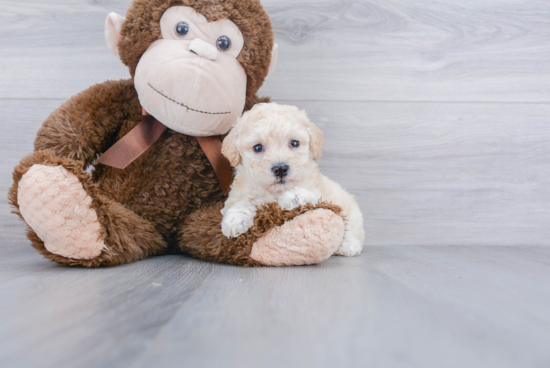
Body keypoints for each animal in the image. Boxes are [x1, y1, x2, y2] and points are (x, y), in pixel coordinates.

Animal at [220, 101, 366, 256]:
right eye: (258, 147)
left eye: (294, 143)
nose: (280, 168)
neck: (275, 192)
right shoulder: (241, 191)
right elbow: (238, 202)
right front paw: (235, 220)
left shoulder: (319, 193)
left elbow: (307, 193)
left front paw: (293, 196)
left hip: (351, 210)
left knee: (353, 229)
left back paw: (348, 245)